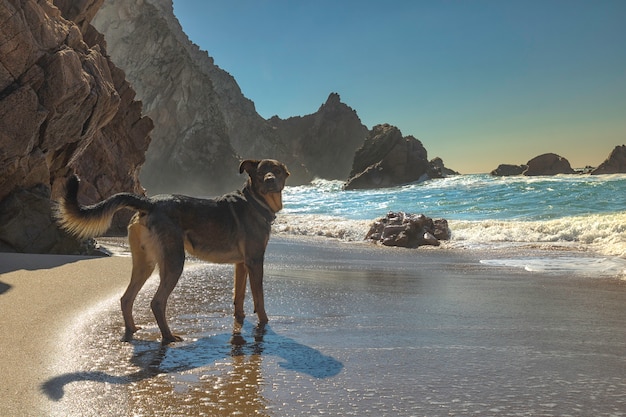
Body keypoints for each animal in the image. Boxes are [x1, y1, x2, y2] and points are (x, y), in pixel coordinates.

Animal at [58, 158, 290, 342]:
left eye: (277, 171)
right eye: (261, 173)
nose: (270, 180)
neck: (255, 201)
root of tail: (149, 203)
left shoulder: (241, 264)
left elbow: (239, 296)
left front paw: (240, 319)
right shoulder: (255, 260)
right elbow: (259, 297)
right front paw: (264, 323)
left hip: (145, 263)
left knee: (126, 298)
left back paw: (132, 330)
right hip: (174, 261)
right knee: (157, 302)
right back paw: (168, 337)